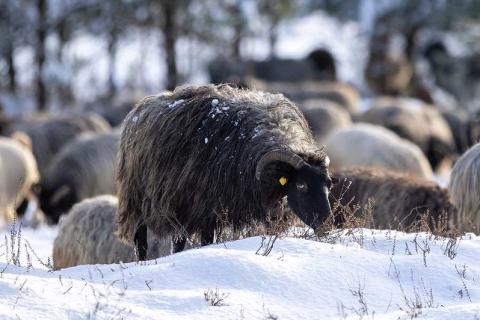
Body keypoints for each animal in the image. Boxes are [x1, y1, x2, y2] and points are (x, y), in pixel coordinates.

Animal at [117, 84, 334, 258]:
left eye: (329, 184)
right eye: (301, 185)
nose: (326, 225)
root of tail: (139, 108)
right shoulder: (205, 208)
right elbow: (206, 242)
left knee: (177, 241)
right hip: (138, 199)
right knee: (141, 242)